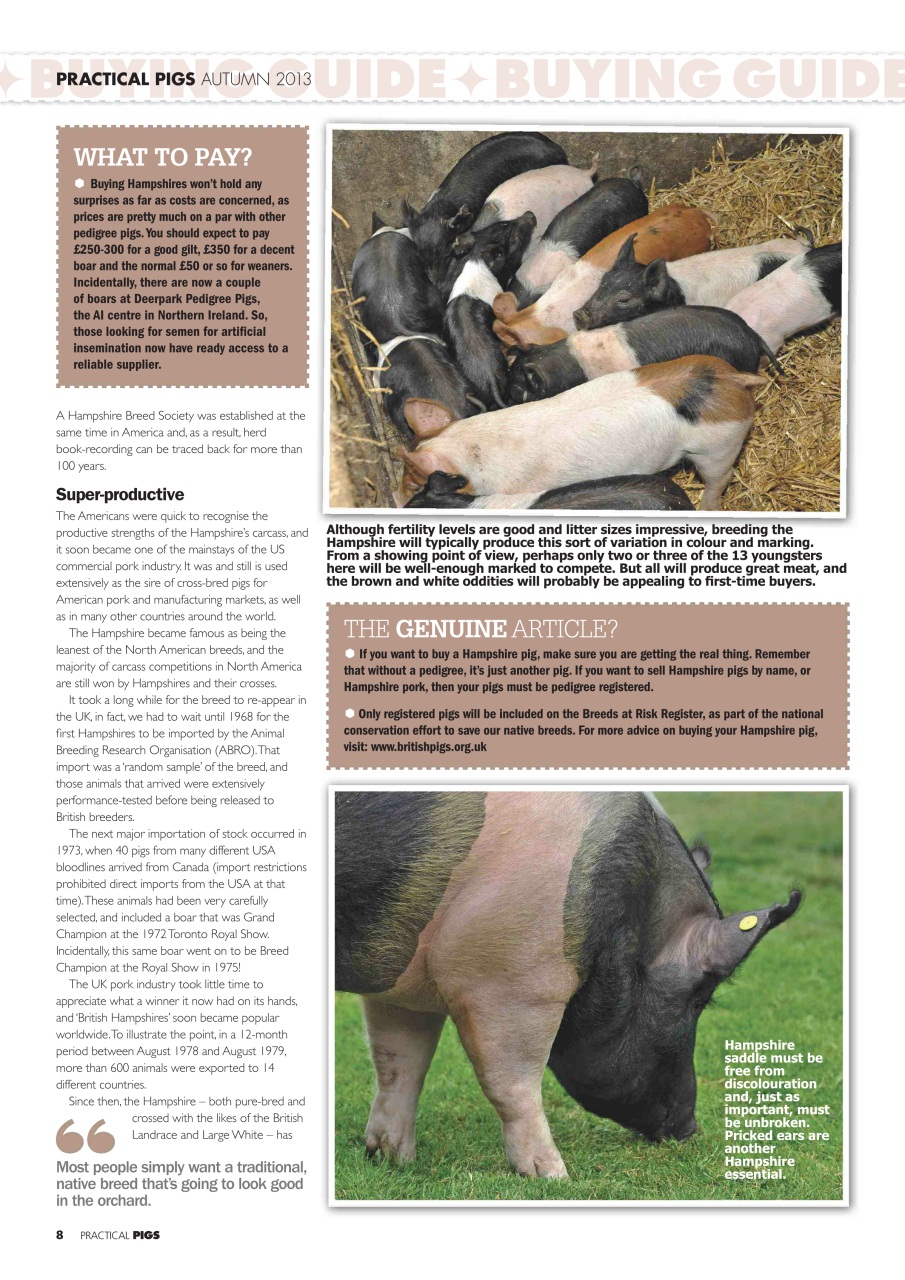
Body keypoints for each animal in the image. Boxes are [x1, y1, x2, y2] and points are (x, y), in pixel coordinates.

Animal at [335, 790, 800, 1177]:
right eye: (700, 999)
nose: (690, 1128)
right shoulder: (513, 981)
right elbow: (510, 1083)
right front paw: (553, 1175)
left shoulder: (403, 985)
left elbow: (399, 1064)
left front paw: (392, 1160)